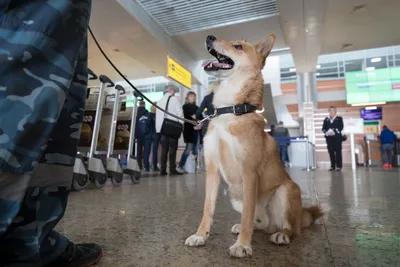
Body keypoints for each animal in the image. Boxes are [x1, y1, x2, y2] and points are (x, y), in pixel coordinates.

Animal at [186, 34, 324, 258]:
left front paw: (242, 245)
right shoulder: (212, 170)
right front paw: (200, 235)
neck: (230, 110)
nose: (209, 36)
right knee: (258, 224)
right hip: (235, 196)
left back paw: (281, 235)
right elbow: (208, 209)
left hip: (286, 190)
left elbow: (248, 214)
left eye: (238, 46)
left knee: (291, 228)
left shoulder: (249, 172)